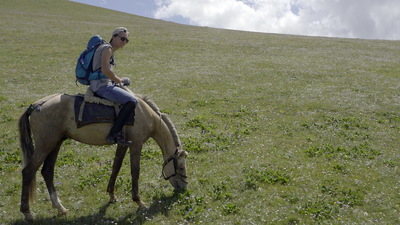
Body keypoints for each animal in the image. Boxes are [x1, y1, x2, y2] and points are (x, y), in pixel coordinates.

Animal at [18, 86, 188, 221]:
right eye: (180, 167)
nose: (184, 188)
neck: (144, 113)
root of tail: (36, 105)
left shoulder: (123, 144)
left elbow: (116, 166)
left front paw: (112, 196)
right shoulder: (136, 144)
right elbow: (135, 171)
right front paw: (139, 202)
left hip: (55, 143)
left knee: (47, 171)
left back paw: (60, 208)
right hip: (45, 145)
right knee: (28, 172)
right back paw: (27, 213)